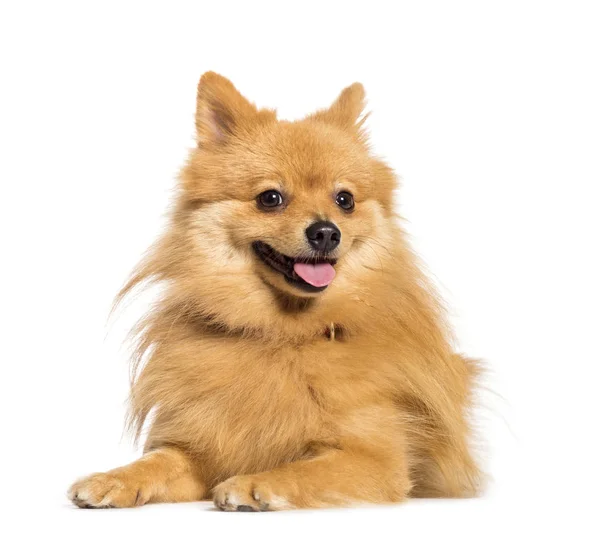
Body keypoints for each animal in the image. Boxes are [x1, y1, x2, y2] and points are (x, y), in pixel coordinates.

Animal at [69, 72, 482, 510]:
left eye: (345, 200)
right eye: (270, 198)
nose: (326, 232)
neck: (283, 333)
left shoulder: (376, 460)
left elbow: (304, 470)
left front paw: (254, 483)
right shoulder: (197, 448)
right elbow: (155, 461)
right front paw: (113, 478)